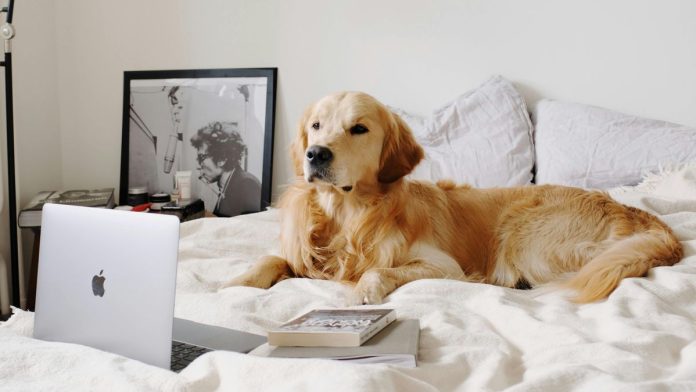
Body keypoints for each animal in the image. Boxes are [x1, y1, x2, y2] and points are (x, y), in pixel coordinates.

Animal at [226, 91, 684, 304]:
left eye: (358, 128)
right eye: (316, 126)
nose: (316, 154)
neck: (349, 216)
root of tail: (641, 215)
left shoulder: (443, 267)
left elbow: (379, 270)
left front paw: (363, 291)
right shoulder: (305, 257)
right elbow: (272, 258)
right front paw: (237, 282)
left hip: (524, 232)